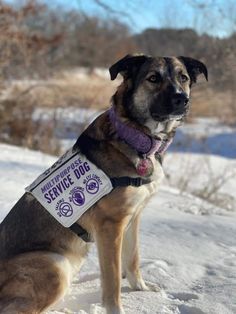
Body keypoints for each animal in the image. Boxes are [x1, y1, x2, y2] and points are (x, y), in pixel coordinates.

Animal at [0, 54, 206, 314]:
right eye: (153, 78)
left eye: (184, 78)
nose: (182, 99)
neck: (134, 138)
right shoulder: (111, 226)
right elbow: (113, 279)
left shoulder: (133, 217)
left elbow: (133, 259)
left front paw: (141, 289)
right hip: (55, 264)